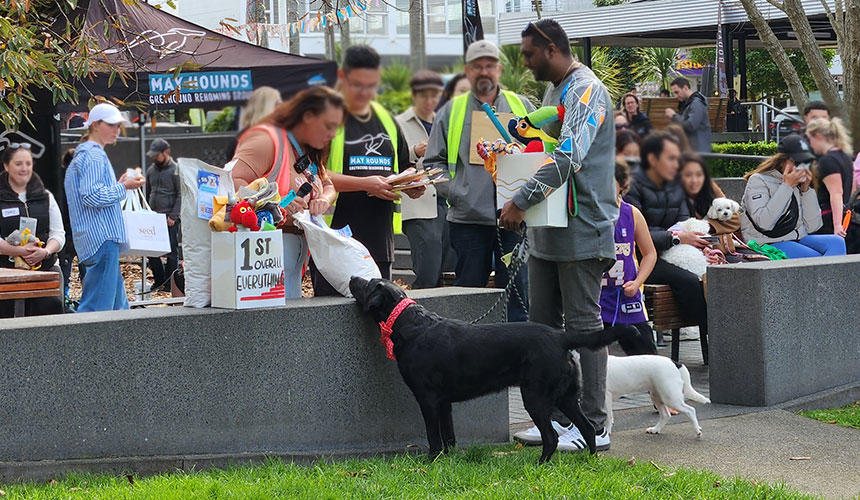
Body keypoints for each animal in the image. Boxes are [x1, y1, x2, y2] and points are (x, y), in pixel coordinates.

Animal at [352, 276, 632, 462]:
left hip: (535, 396)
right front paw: (449, 459)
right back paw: (589, 461)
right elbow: (449, 435)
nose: (354, 277)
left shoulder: (428, 399)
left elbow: (434, 436)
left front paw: (431, 461)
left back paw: (541, 465)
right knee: (587, 427)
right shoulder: (444, 403)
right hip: (566, 396)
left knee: (552, 436)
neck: (410, 324)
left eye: (369, 283)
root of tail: (561, 336)